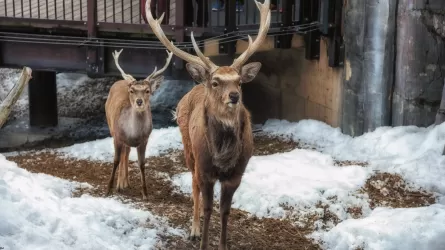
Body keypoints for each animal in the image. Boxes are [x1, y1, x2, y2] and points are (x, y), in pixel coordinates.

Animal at [105, 48, 173, 200]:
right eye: (132, 91)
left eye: (147, 91)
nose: (139, 101)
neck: (133, 134)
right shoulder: (117, 136)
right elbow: (115, 160)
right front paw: (108, 189)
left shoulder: (144, 140)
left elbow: (142, 164)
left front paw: (145, 193)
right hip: (110, 126)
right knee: (123, 154)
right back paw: (120, 184)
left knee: (126, 153)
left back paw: (125, 183)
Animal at [146, 0, 270, 249]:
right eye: (215, 82)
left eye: (239, 82)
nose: (234, 96)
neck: (223, 156)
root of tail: (196, 85)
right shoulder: (205, 169)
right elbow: (207, 206)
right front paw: (201, 239)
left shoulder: (236, 174)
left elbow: (224, 211)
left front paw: (223, 244)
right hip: (188, 148)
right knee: (194, 186)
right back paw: (194, 228)